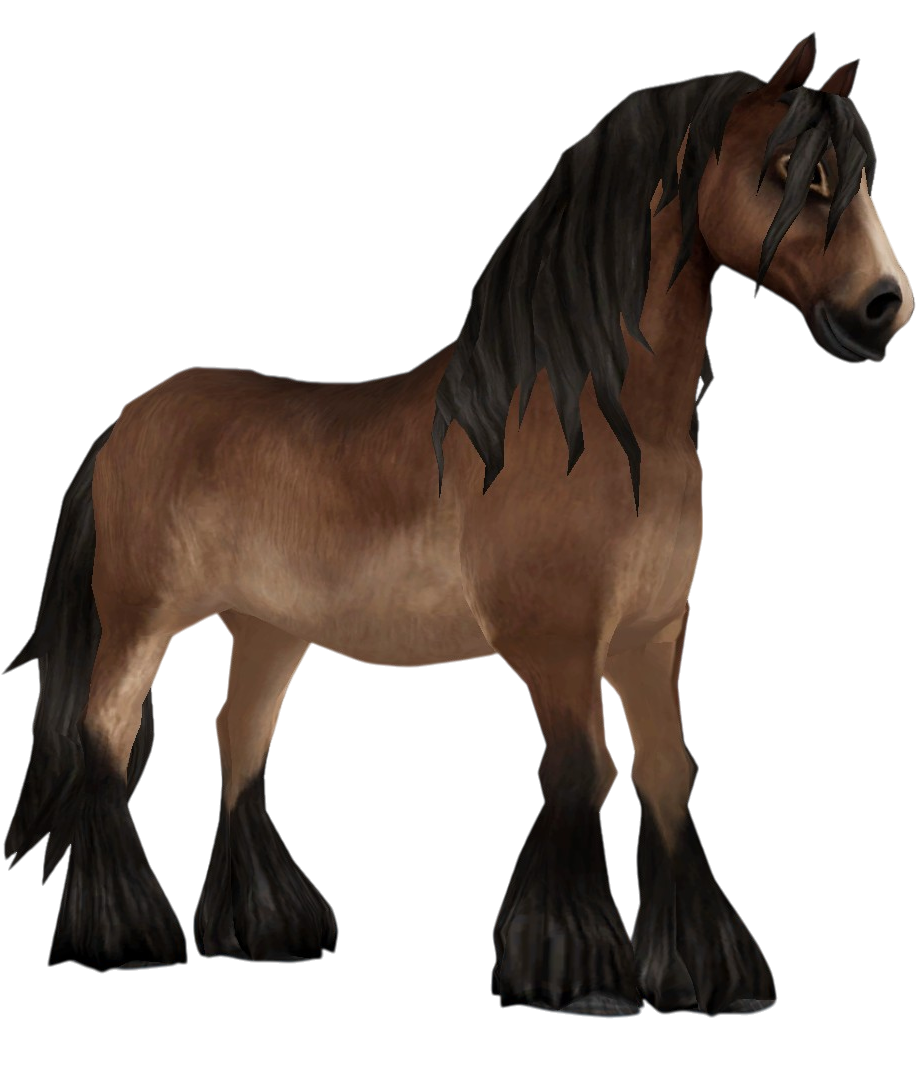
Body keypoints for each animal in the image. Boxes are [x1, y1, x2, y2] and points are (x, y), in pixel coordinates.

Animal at [4, 35, 911, 1015]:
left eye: (858, 177)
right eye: (791, 170)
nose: (885, 305)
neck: (592, 421)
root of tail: (127, 425)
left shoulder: (651, 637)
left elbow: (668, 774)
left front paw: (711, 974)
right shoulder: (557, 644)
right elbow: (581, 770)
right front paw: (574, 970)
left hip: (271, 629)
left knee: (240, 738)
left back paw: (267, 930)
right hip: (142, 621)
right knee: (106, 735)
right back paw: (125, 936)